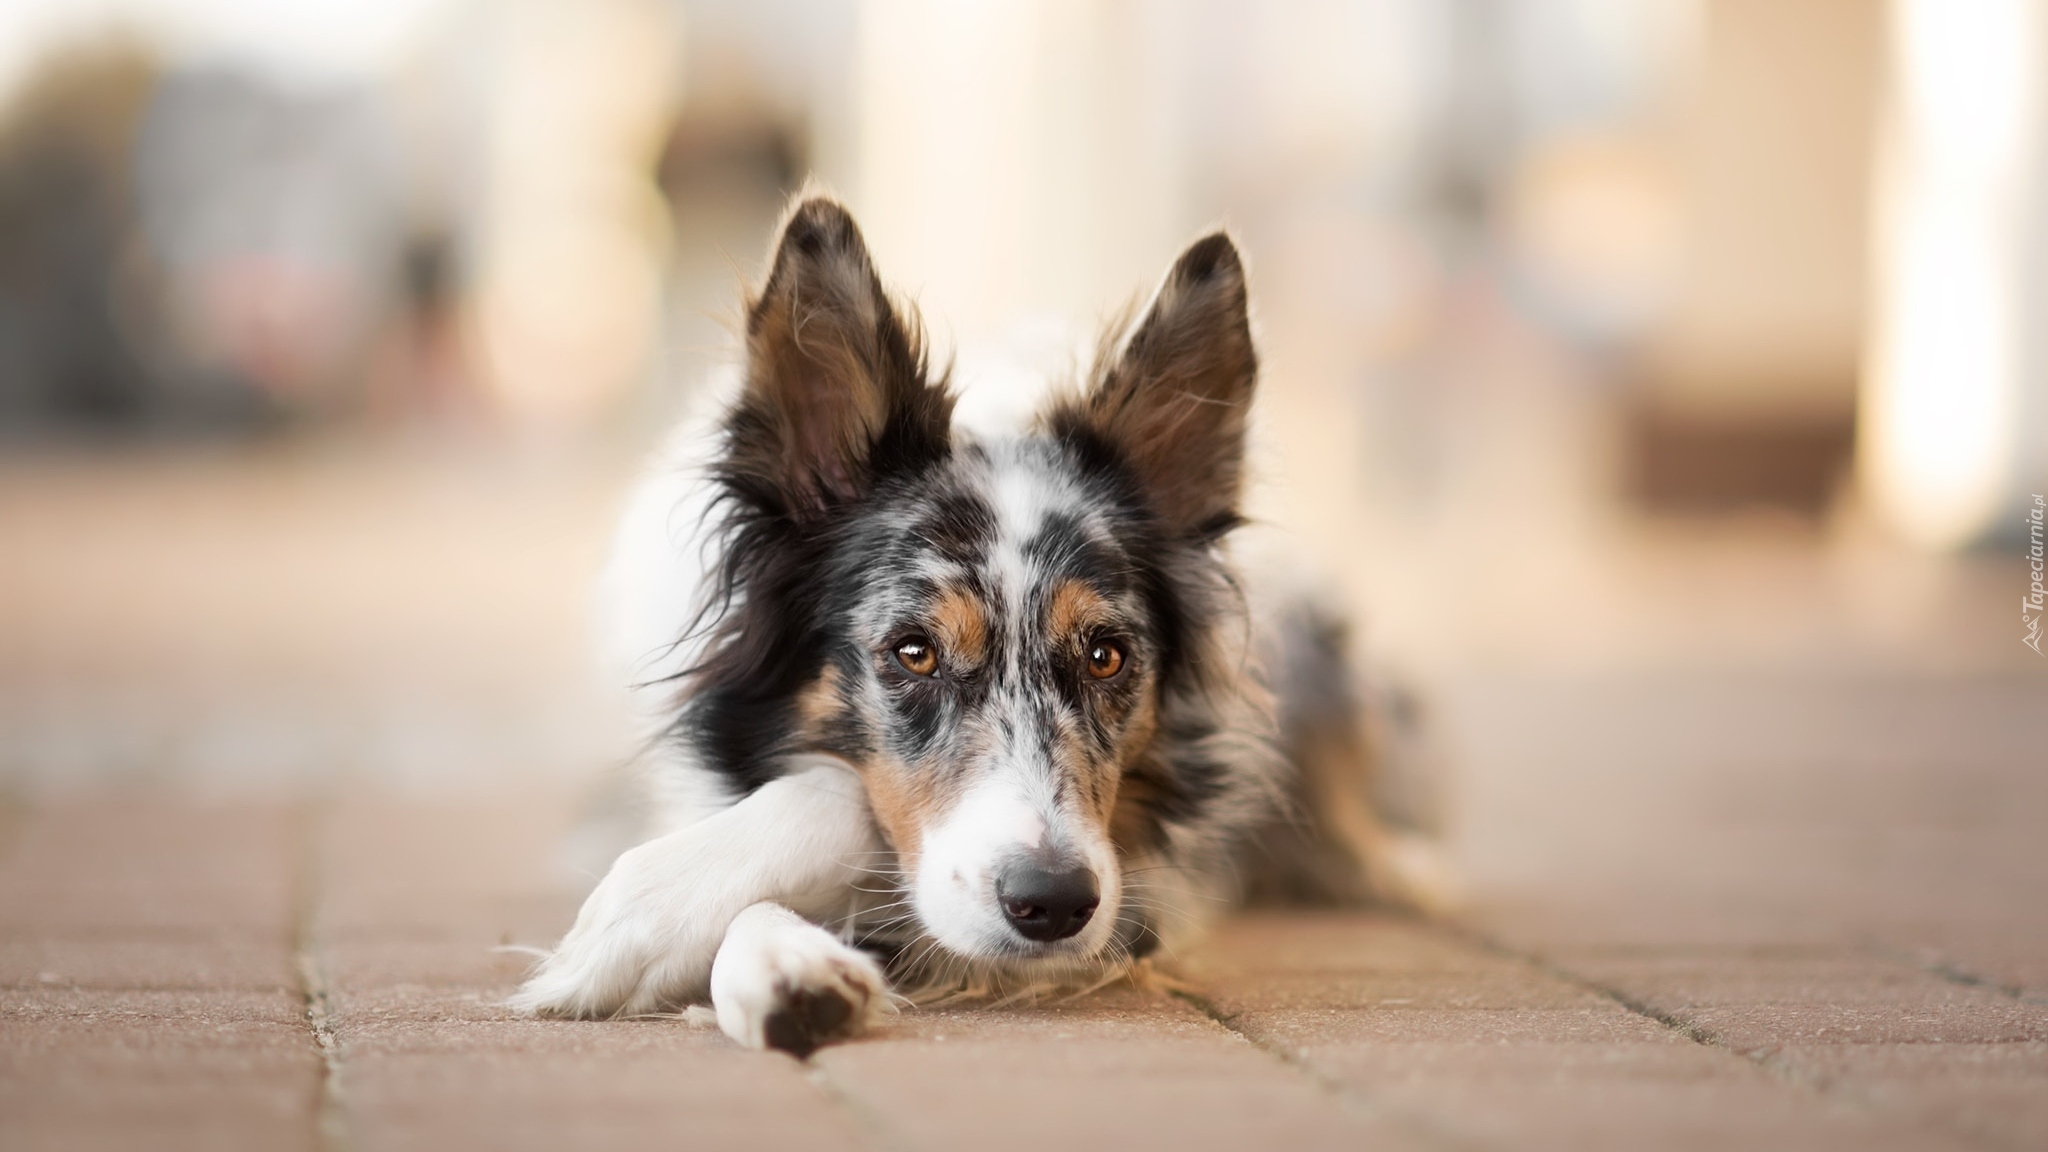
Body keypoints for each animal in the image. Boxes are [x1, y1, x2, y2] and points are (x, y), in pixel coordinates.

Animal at [520, 190, 1466, 1049]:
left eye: (1107, 656)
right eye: (913, 652)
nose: (1053, 904)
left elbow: (841, 798)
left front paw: (649, 915)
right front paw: (775, 957)